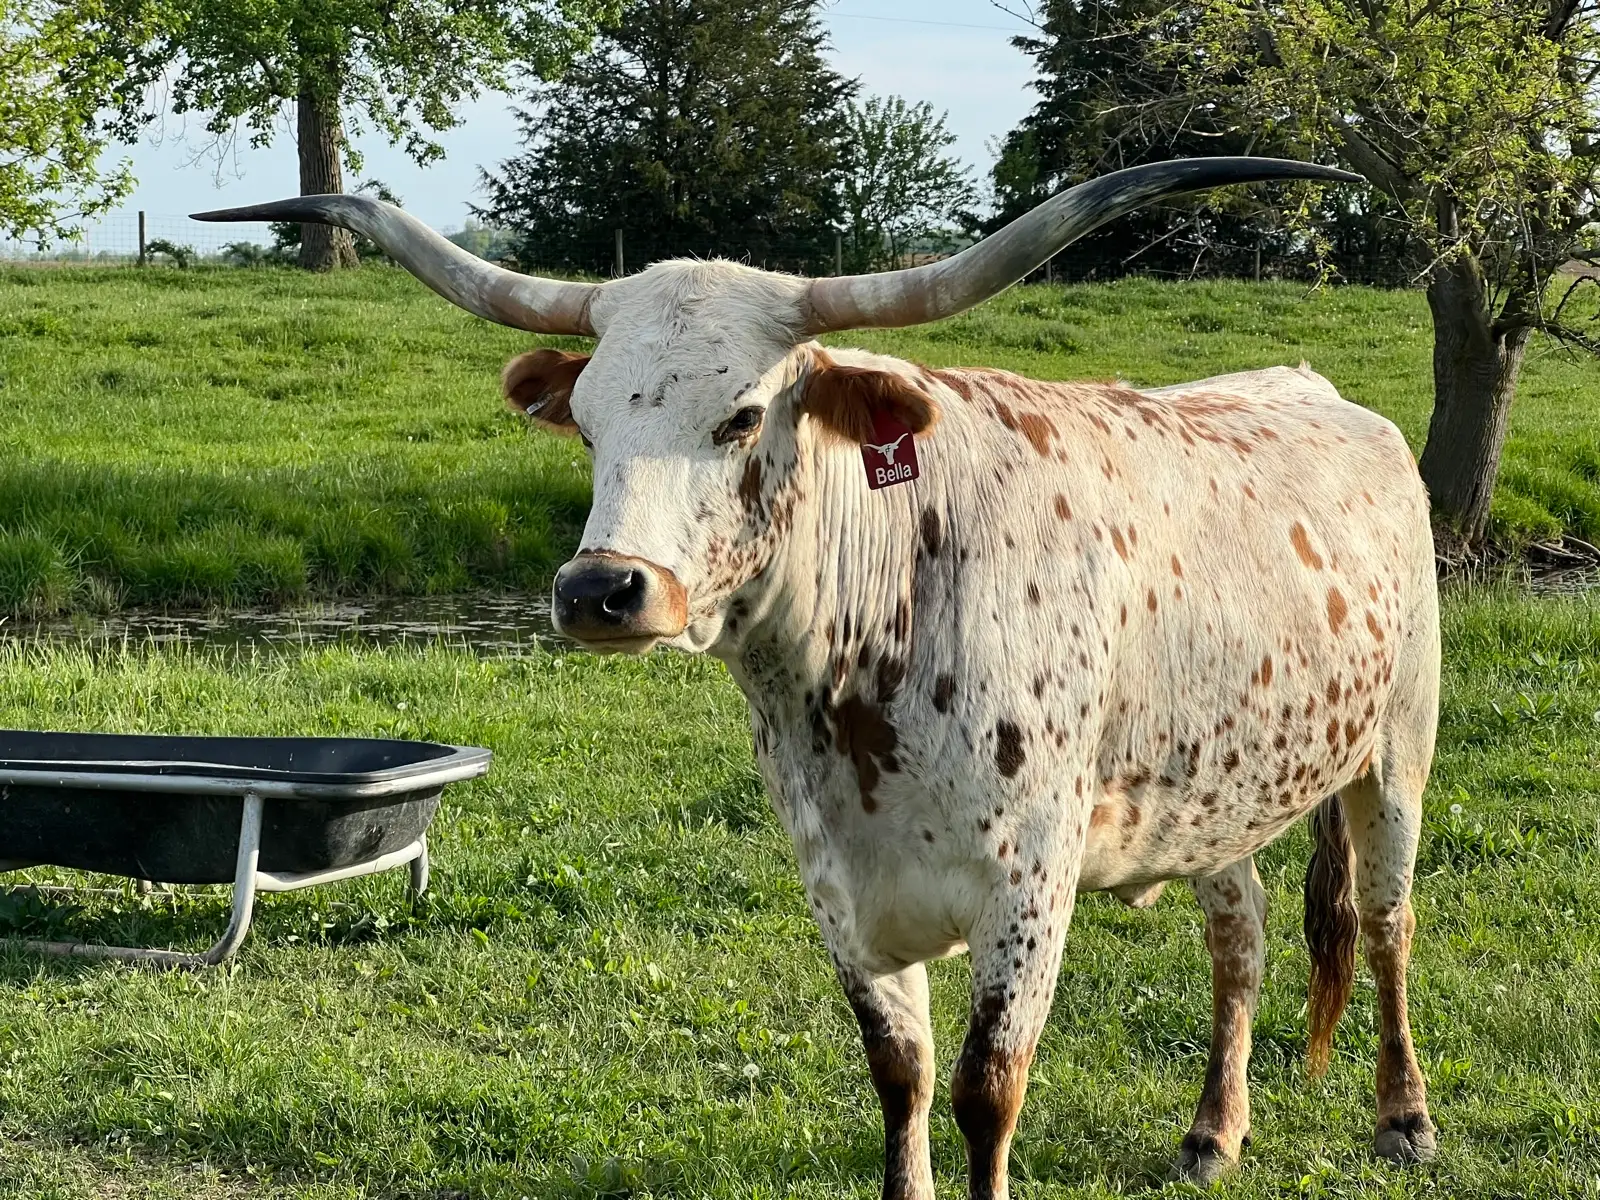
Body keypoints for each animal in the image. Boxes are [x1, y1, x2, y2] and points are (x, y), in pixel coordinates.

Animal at [198, 158, 1439, 1196]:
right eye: (586, 425)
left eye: (742, 415)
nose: (601, 591)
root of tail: (1318, 388)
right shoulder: (838, 887)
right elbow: (902, 1075)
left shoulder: (1026, 890)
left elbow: (987, 1091)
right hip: (1217, 789)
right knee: (1240, 934)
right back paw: (1211, 1132)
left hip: (1397, 752)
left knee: (1384, 924)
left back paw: (1402, 1119)